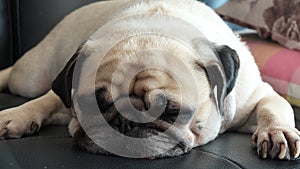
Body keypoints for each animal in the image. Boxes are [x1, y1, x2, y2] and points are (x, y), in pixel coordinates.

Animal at [0, 0, 300, 160]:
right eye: (89, 105)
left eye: (172, 112)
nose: (125, 122)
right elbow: (45, 101)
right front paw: (17, 116)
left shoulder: (258, 95)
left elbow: (274, 107)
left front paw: (277, 132)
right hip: (30, 76)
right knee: (18, 76)